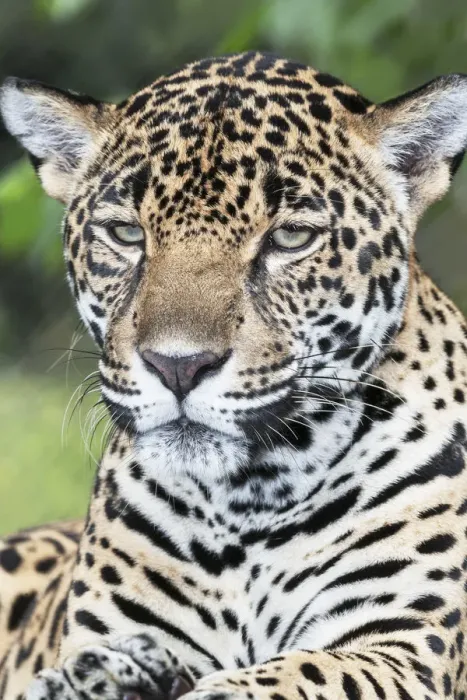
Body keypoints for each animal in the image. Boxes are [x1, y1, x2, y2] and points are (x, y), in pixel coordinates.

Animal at [1, 50, 467, 700]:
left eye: (290, 238)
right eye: (126, 233)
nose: (177, 365)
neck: (246, 505)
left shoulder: (401, 645)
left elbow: (296, 672)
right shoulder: (102, 631)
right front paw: (108, 676)